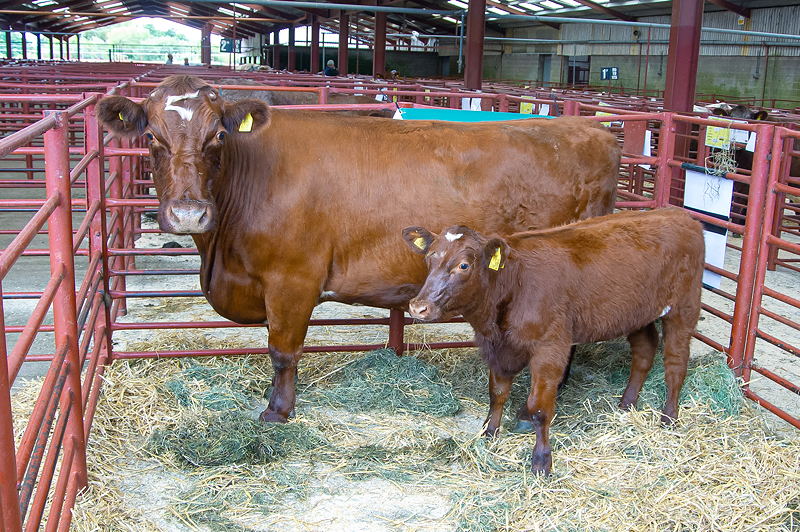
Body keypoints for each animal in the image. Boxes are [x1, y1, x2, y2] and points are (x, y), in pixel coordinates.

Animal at [92, 74, 620, 424]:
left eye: (218, 135)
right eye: (151, 136)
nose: (187, 213)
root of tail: (594, 132)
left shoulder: (292, 280)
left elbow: (282, 350)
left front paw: (277, 411)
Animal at [404, 208, 704, 474]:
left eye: (464, 265)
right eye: (429, 258)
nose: (419, 307)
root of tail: (680, 214)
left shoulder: (550, 348)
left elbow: (539, 408)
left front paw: (541, 462)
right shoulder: (500, 349)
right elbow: (497, 393)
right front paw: (489, 434)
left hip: (683, 309)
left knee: (675, 363)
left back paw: (669, 418)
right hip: (636, 314)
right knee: (644, 351)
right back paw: (626, 404)